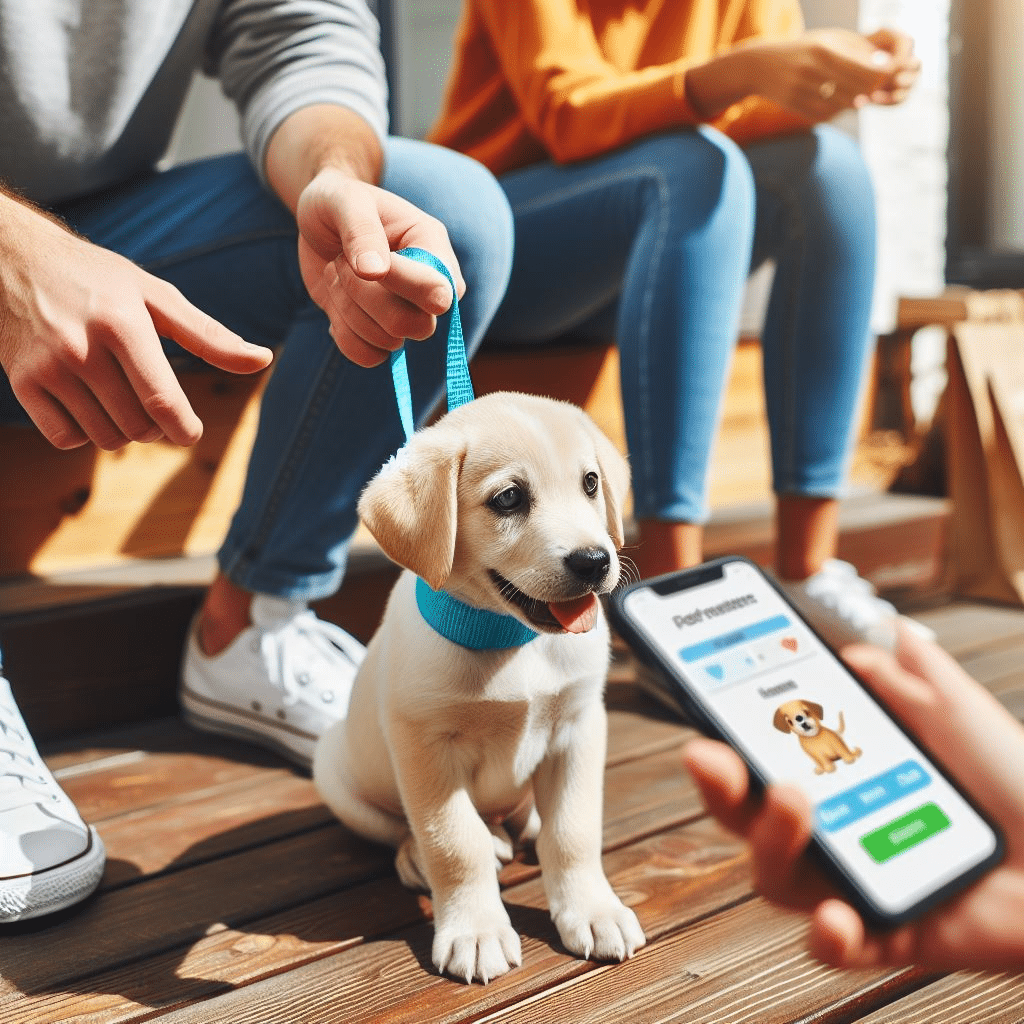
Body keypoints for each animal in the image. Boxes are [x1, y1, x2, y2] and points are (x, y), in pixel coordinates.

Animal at [315, 389, 643, 983]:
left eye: (590, 483)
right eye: (509, 499)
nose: (594, 561)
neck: (510, 639)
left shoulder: (579, 727)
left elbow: (574, 830)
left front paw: (592, 910)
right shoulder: (425, 747)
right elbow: (453, 843)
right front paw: (475, 931)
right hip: (333, 771)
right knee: (406, 829)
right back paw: (417, 856)